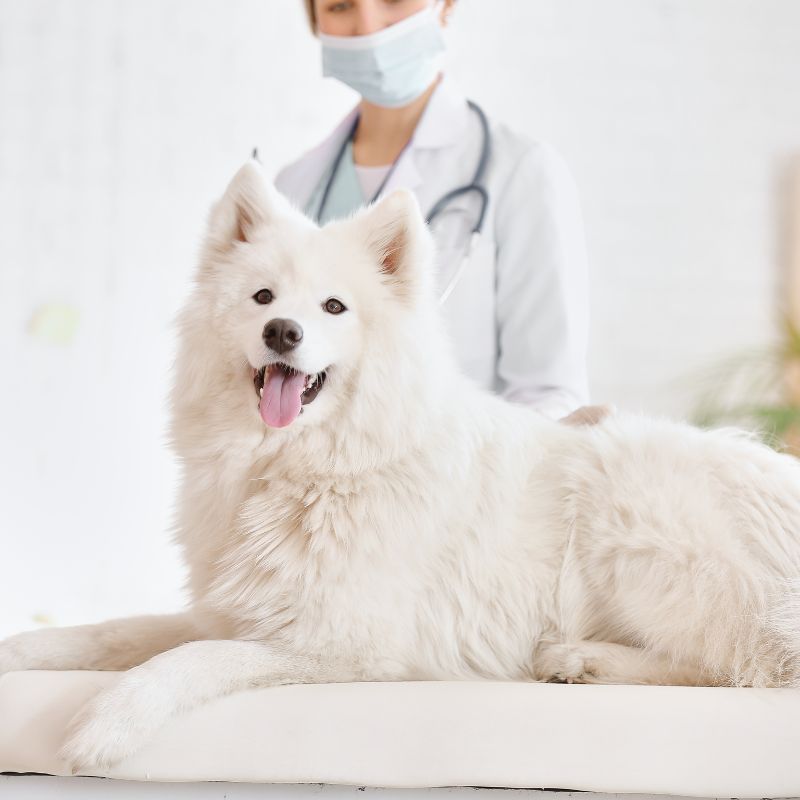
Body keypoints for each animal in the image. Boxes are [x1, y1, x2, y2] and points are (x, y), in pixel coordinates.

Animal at [1, 159, 800, 772]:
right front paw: (22, 649)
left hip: (631, 512)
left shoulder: (338, 646)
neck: (303, 469)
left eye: (333, 307)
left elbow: (190, 661)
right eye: (262, 297)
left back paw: (586, 659)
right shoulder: (230, 609)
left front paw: (108, 722)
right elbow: (105, 633)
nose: (282, 331)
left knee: (745, 666)